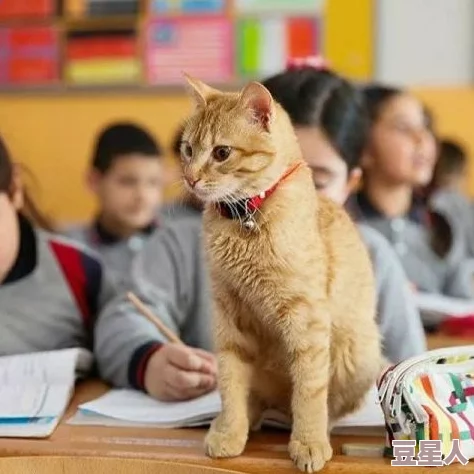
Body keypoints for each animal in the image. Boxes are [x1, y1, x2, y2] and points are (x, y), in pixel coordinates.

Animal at [180, 74, 384, 470]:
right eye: (188, 150)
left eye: (222, 153)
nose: (190, 179)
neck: (245, 219)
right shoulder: (229, 318)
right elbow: (230, 382)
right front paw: (231, 430)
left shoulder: (307, 322)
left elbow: (309, 391)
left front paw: (308, 442)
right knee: (255, 396)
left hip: (359, 353)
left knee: (327, 404)